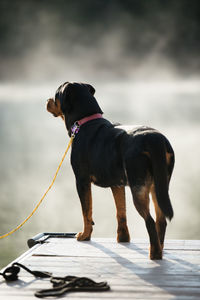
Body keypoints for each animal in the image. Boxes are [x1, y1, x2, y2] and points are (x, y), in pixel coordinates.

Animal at [46, 81, 174, 258]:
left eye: (56, 95)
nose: (47, 100)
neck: (84, 121)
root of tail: (155, 139)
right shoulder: (117, 184)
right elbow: (120, 212)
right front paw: (123, 238)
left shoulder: (81, 180)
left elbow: (86, 211)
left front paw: (85, 235)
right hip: (159, 186)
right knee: (161, 220)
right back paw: (159, 249)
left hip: (139, 187)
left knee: (150, 221)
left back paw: (154, 254)